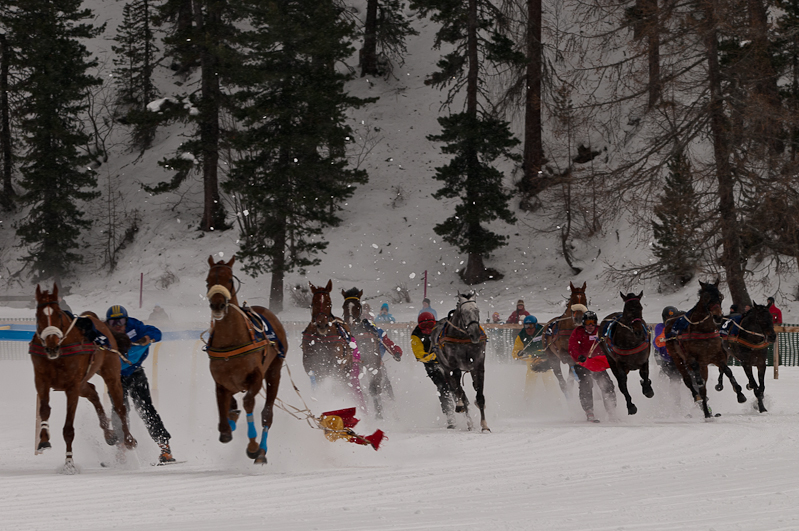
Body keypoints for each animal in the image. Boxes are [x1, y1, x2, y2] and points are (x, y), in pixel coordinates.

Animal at [29, 284, 136, 472]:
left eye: (58, 314)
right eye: (38, 315)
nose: (51, 346)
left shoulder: (72, 386)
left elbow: (68, 429)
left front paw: (69, 464)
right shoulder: (42, 380)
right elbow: (44, 411)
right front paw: (43, 441)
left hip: (110, 373)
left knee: (120, 407)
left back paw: (128, 439)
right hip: (83, 382)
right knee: (92, 392)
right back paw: (109, 434)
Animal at [203, 256, 288, 464]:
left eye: (229, 280)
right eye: (208, 281)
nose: (217, 305)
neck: (231, 341)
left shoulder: (255, 377)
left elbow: (248, 401)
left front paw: (253, 447)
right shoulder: (221, 381)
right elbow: (224, 410)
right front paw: (228, 425)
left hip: (274, 370)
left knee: (267, 414)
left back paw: (262, 452)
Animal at [340, 286, 400, 420]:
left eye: (358, 306)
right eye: (344, 306)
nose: (350, 322)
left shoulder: (373, 364)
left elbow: (374, 388)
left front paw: (379, 414)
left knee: (385, 386)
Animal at [664, 278, 752, 420]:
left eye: (720, 296)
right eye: (706, 297)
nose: (718, 316)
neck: (703, 330)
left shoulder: (717, 356)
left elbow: (728, 371)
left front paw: (740, 393)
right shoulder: (691, 357)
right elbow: (697, 377)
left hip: (704, 365)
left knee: (703, 386)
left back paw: (706, 411)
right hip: (676, 357)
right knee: (689, 381)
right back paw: (698, 399)